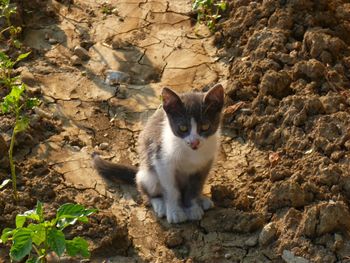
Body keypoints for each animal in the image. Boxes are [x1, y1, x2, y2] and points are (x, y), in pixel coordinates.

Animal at [93, 83, 224, 224]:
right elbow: (171, 189)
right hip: (148, 175)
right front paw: (175, 211)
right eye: (183, 128)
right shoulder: (161, 160)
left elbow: (195, 187)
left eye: (205, 127)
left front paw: (193, 207)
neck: (190, 153)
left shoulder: (205, 164)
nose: (195, 142)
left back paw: (202, 199)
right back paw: (160, 205)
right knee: (148, 191)